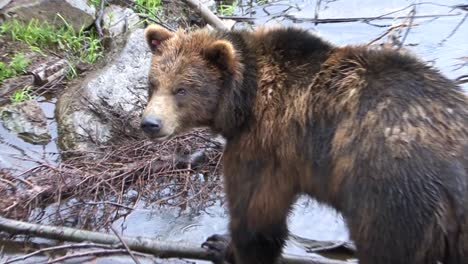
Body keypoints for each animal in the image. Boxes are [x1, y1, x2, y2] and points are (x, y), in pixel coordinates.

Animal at [140, 25, 468, 264]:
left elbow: (256, 216)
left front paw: (221, 245)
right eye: (153, 83)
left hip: (391, 198)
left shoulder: (262, 146)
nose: (150, 123)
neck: (245, 100)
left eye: (182, 89)